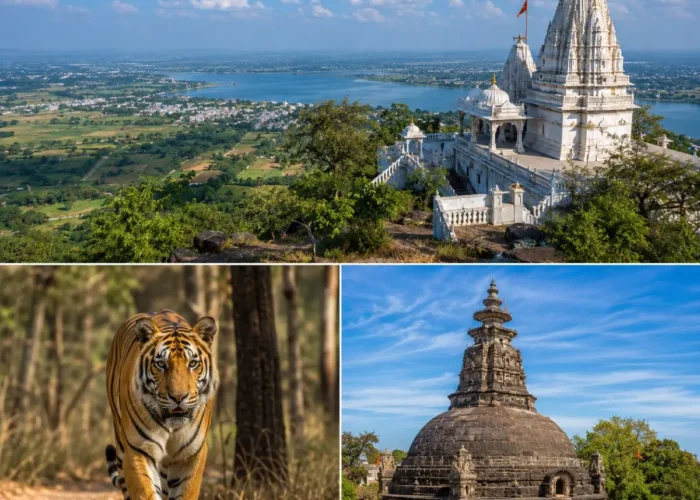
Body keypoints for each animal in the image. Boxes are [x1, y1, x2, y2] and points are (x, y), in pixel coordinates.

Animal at [105, 309, 219, 500]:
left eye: (193, 363)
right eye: (160, 364)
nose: (178, 397)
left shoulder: (192, 455)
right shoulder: (138, 450)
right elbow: (145, 492)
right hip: (121, 448)